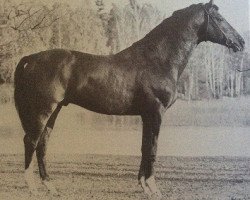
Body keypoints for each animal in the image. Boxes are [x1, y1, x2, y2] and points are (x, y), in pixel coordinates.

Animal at [13, 0, 244, 198]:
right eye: (219, 18)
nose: (241, 42)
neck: (157, 60)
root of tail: (30, 59)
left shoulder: (146, 115)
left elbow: (144, 147)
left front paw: (143, 185)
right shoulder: (156, 112)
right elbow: (152, 149)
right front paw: (153, 188)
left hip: (54, 110)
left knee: (42, 144)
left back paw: (50, 186)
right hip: (43, 110)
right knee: (31, 141)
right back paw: (32, 187)